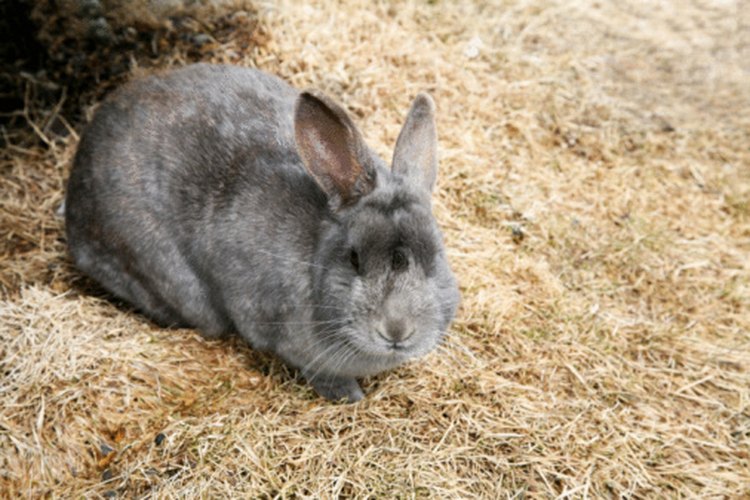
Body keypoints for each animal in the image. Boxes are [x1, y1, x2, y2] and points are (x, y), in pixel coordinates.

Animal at [64, 63, 462, 402]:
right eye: (354, 258)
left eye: (435, 256)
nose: (397, 330)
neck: (315, 259)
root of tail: (74, 200)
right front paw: (351, 396)